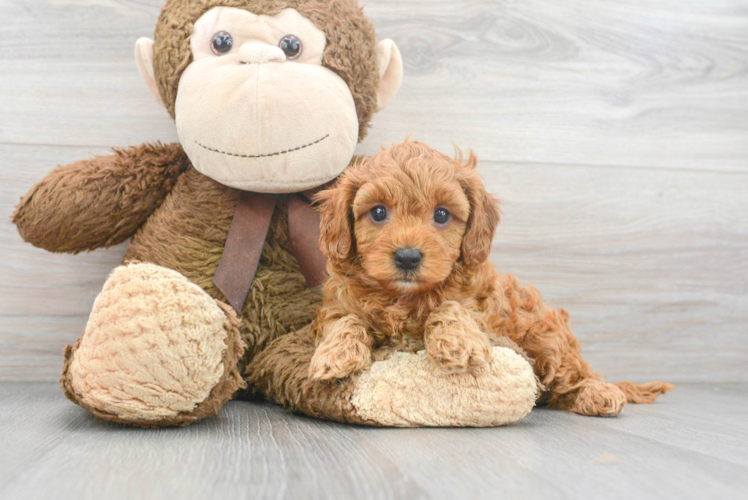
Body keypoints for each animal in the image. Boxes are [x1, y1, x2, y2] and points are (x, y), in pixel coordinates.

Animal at [310, 139, 672, 416]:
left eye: (441, 214)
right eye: (378, 212)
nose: (408, 257)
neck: (404, 297)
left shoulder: (481, 311)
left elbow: (450, 307)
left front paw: (459, 343)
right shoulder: (337, 304)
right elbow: (346, 320)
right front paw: (333, 355)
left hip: (547, 341)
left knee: (576, 375)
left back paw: (600, 394)